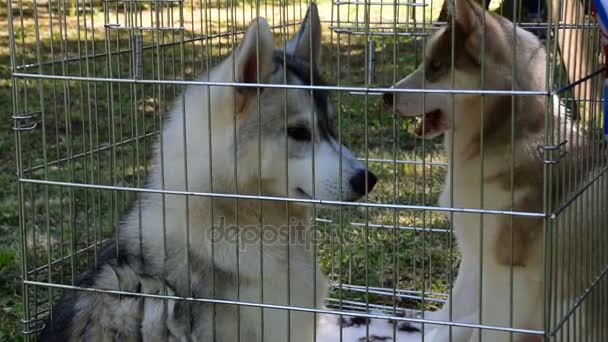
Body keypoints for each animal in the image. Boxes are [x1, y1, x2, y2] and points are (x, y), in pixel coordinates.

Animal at [384, 0, 608, 342]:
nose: (385, 96)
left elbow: (486, 326)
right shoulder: (475, 253)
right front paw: (429, 326)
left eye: (435, 66)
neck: (501, 135)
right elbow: (454, 307)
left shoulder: (506, 272)